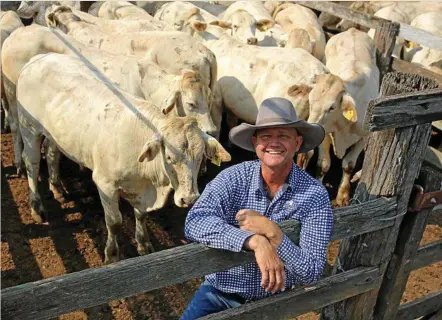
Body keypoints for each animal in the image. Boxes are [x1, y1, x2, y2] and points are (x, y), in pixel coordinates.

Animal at [16, 52, 231, 262]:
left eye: (200, 157)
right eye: (169, 157)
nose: (190, 198)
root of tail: (38, 59)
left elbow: (141, 215)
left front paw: (143, 244)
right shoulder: (105, 184)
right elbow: (114, 223)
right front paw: (111, 255)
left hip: (55, 136)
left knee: (51, 153)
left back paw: (57, 188)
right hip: (28, 128)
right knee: (32, 162)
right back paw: (36, 207)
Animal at [308, 28, 380, 206]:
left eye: (332, 107)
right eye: (310, 100)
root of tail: (353, 29)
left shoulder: (363, 137)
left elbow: (349, 165)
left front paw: (343, 196)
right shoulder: (325, 133)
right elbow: (323, 164)